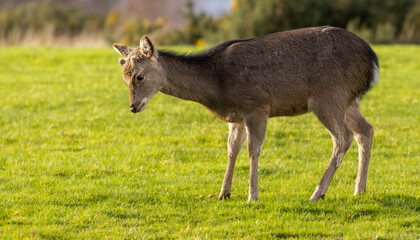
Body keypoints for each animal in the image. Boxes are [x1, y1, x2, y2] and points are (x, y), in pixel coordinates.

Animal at [113, 26, 378, 202]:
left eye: (140, 76)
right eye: (124, 77)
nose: (133, 107)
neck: (218, 86)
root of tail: (373, 62)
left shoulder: (257, 106)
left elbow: (253, 149)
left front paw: (252, 196)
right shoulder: (236, 116)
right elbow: (232, 149)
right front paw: (223, 193)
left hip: (328, 96)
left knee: (342, 137)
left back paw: (318, 193)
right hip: (348, 101)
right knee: (365, 130)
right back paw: (359, 189)